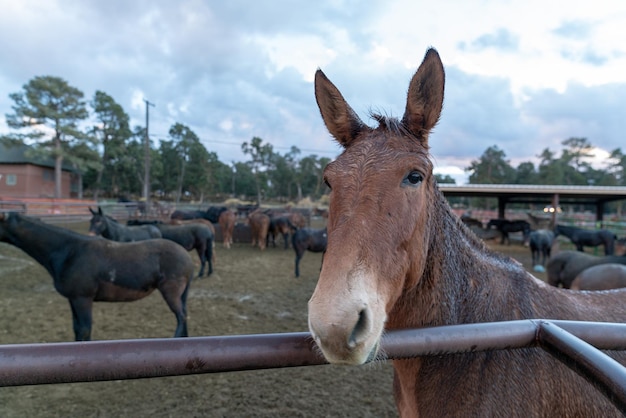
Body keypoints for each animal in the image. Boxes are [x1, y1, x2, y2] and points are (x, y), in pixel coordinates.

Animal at [0, 211, 194, 342]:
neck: (69, 251)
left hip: (171, 292)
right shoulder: (73, 299)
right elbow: (77, 328)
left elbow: (85, 330)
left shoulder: (82, 299)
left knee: (181, 316)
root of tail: (186, 256)